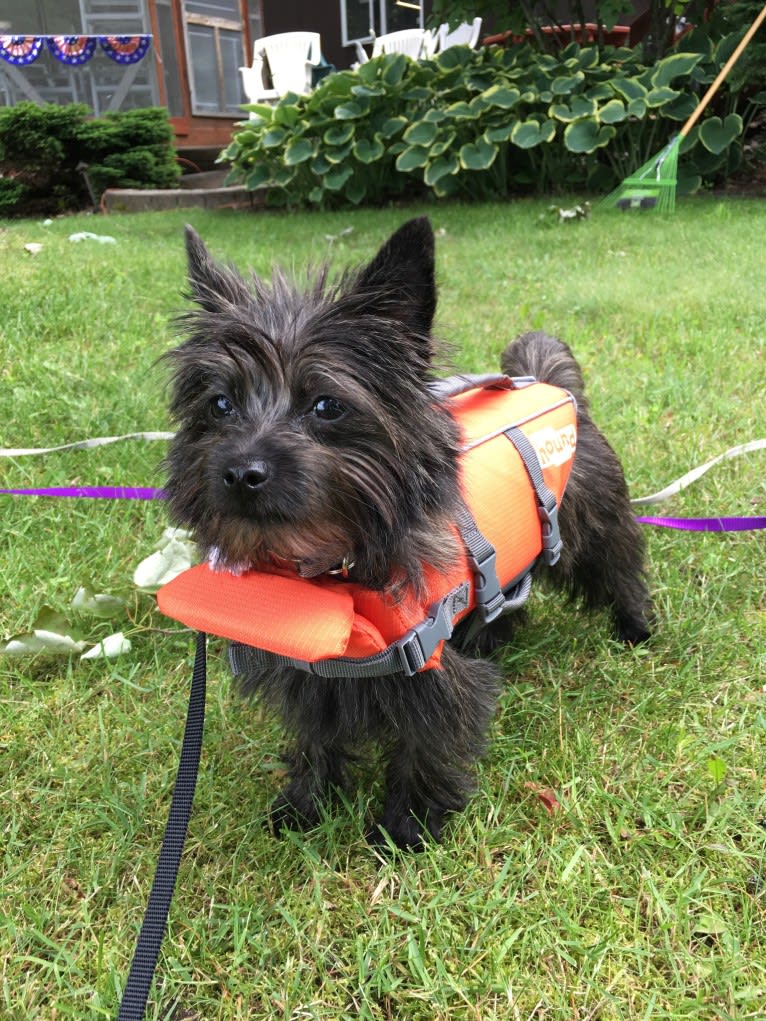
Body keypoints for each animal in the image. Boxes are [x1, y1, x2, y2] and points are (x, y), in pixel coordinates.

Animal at [163, 219, 653, 849]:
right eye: (220, 404)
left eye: (327, 405)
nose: (241, 473)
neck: (335, 564)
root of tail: (549, 384)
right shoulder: (311, 674)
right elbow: (316, 736)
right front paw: (306, 804)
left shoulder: (430, 671)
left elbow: (425, 743)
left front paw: (406, 827)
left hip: (593, 528)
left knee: (619, 569)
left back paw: (636, 629)